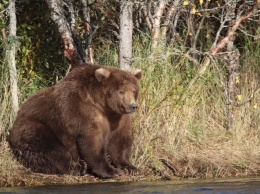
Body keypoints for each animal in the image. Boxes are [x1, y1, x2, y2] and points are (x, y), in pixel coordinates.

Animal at [8, 64, 141, 178]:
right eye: (121, 91)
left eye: (133, 90)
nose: (133, 106)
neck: (103, 106)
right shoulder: (82, 110)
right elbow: (92, 142)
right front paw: (112, 171)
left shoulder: (118, 118)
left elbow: (120, 141)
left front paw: (130, 167)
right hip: (37, 127)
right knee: (51, 150)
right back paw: (78, 167)